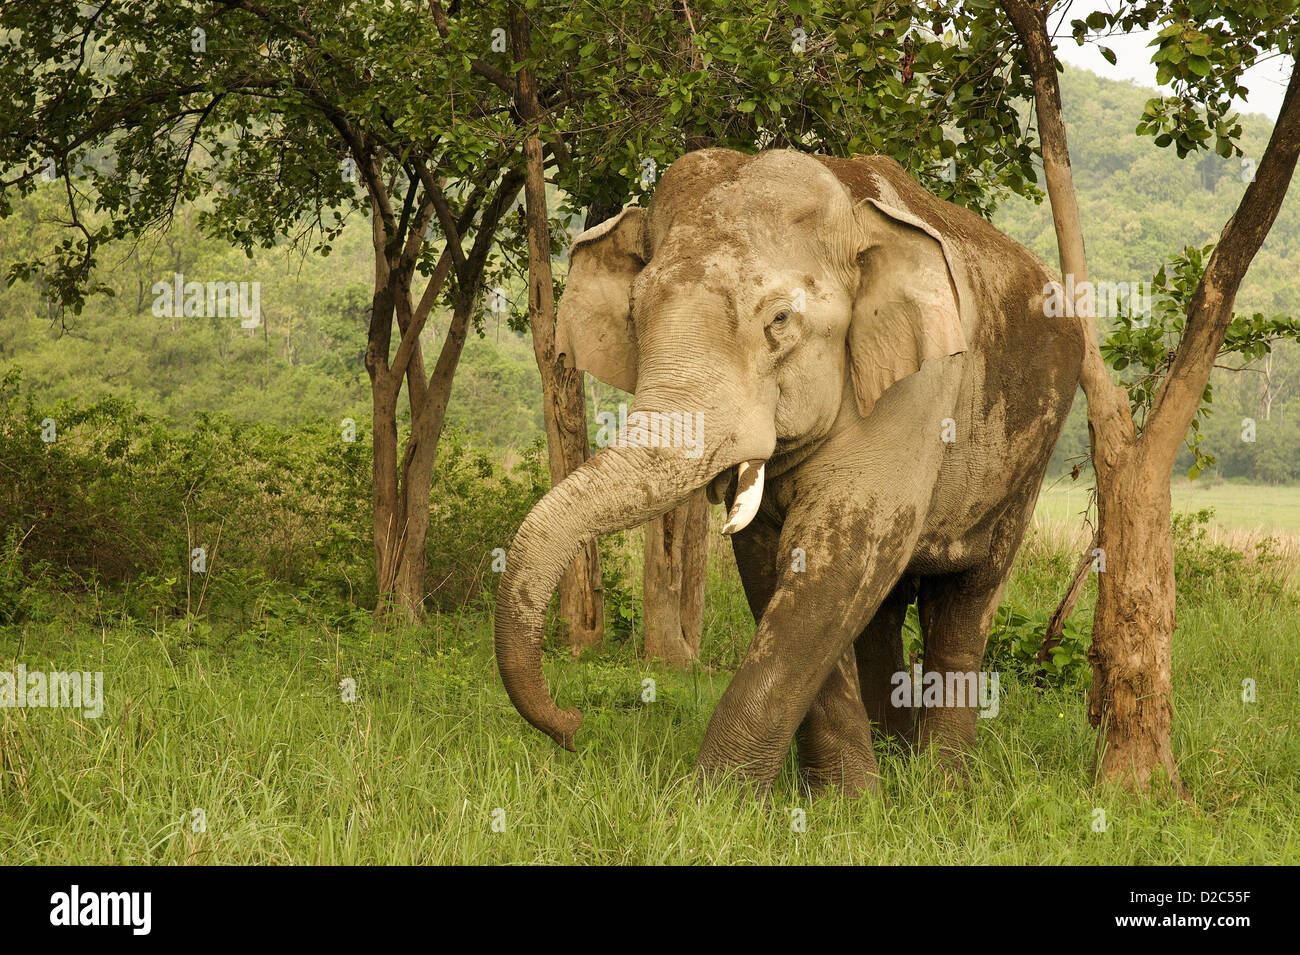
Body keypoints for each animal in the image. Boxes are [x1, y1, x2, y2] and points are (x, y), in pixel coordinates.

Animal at [491, 147, 1081, 789]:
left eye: (779, 321)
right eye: (634, 314)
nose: (572, 727)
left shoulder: (918, 391)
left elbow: (841, 560)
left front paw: (715, 798)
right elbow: (771, 560)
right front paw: (844, 801)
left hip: (1030, 451)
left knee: (966, 601)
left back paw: (940, 786)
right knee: (884, 612)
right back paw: (896, 762)